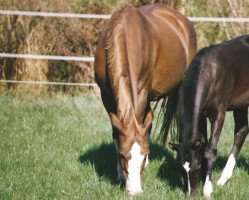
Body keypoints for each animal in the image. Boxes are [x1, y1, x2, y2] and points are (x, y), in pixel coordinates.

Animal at [93, 3, 196, 195]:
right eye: (123, 156)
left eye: (142, 156)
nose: (134, 191)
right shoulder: (106, 96)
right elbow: (117, 132)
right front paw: (119, 174)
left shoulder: (141, 92)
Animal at [169, 34, 249, 197]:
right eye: (180, 169)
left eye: (196, 166)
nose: (190, 194)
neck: (210, 72)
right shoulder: (201, 116)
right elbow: (203, 144)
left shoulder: (218, 114)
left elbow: (210, 150)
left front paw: (207, 189)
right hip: (241, 104)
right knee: (241, 131)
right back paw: (223, 179)